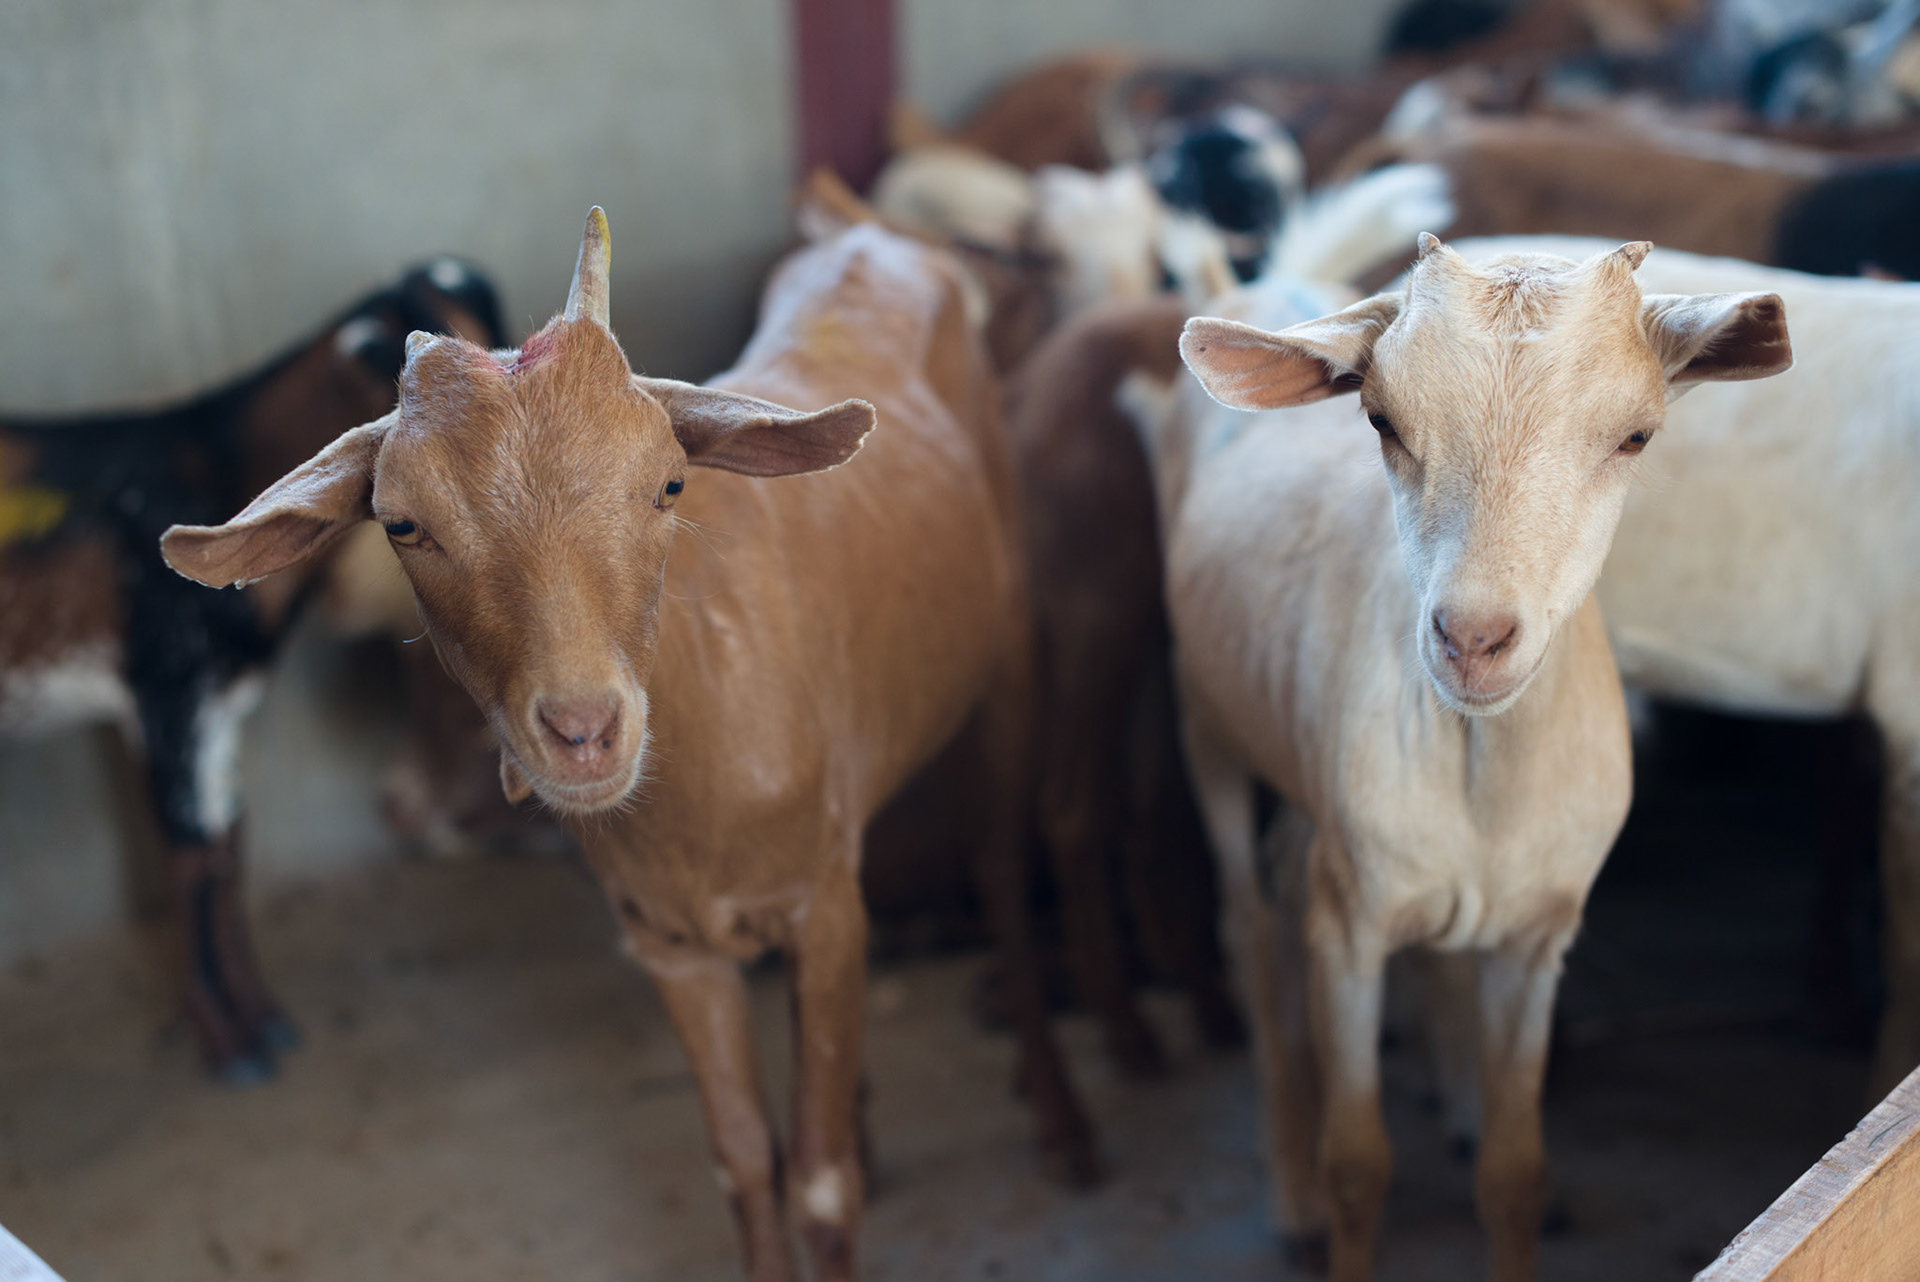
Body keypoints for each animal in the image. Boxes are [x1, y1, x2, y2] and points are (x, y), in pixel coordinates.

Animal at [0, 258, 503, 1080]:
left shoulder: (221, 699)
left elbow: (231, 845)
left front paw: (265, 1021)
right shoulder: (168, 688)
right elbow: (190, 854)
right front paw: (228, 1045)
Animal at [160, 210, 1097, 1281]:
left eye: (670, 483)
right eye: (401, 524)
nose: (582, 731)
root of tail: (869, 233)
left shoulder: (820, 904)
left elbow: (820, 1185)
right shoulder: (671, 943)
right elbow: (746, 1161)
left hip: (1009, 651)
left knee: (1000, 865)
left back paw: (1063, 1124)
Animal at [1130, 235, 1790, 1279]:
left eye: (1637, 435)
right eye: (1381, 418)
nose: (1473, 639)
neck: (1486, 775)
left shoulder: (1538, 935)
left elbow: (1515, 1172)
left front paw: (1499, 1151)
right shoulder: (1350, 929)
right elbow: (1359, 1162)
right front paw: (1332, 1196)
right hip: (1204, 710)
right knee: (1247, 921)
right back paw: (1291, 1194)